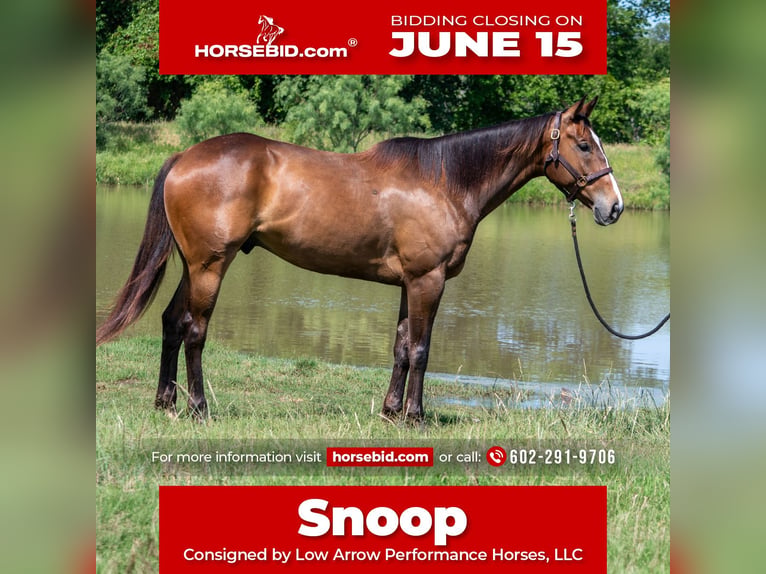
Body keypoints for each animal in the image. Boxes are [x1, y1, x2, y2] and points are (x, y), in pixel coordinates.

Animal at [96, 97, 623, 420]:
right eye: (583, 144)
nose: (614, 206)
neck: (446, 181)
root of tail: (184, 156)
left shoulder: (411, 284)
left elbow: (401, 347)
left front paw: (391, 411)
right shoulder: (429, 281)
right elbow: (421, 350)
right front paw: (415, 416)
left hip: (193, 265)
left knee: (171, 322)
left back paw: (166, 402)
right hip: (210, 266)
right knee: (195, 331)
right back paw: (199, 407)